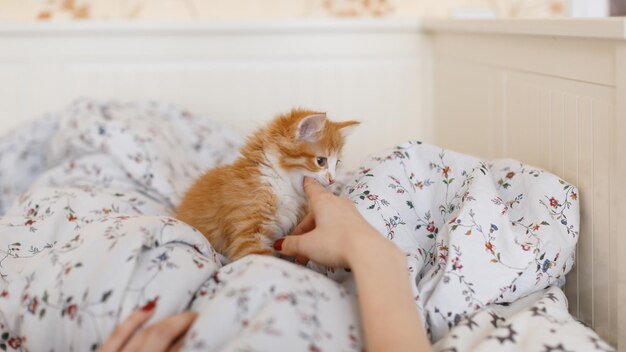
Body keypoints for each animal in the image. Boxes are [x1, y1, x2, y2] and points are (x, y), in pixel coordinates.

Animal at [178, 109, 358, 262]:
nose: (333, 180)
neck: (282, 184)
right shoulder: (247, 230)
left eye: (337, 163)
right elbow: (263, 259)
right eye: (321, 161)